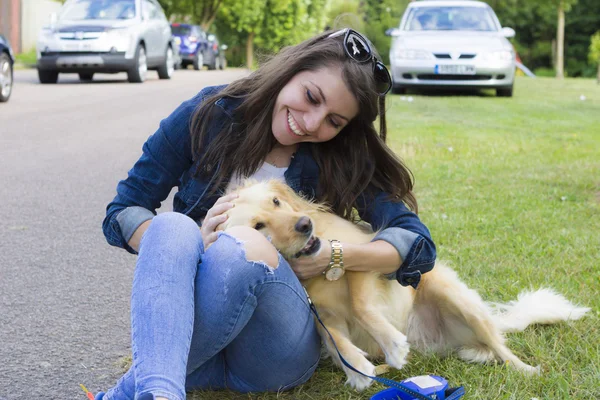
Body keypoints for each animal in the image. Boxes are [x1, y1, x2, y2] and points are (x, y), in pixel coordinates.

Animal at [221, 180, 592, 390]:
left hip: (454, 298)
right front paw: (358, 370)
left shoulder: (362, 257)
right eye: (258, 226)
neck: (320, 271)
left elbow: (361, 303)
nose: (304, 224)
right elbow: (336, 338)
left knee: (500, 347)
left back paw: (525, 369)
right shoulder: (322, 314)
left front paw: (392, 344)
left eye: (276, 202)